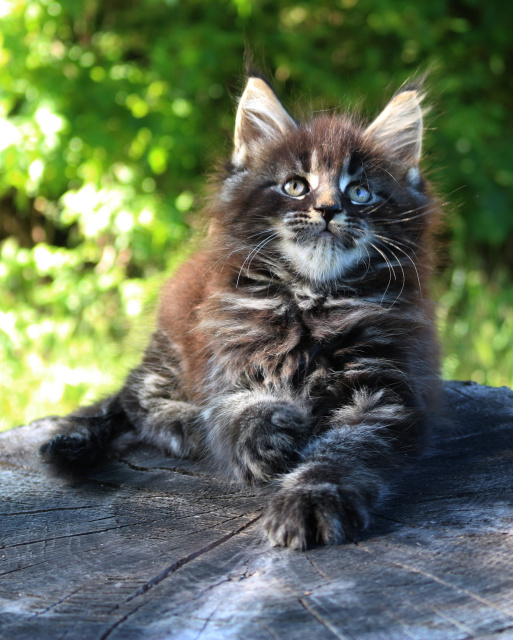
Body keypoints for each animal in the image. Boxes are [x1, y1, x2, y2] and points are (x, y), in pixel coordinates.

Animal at [40, 71, 440, 552]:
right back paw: (190, 425)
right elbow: (238, 408)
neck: (310, 300)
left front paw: (309, 499)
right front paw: (265, 440)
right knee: (138, 398)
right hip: (173, 347)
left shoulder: (384, 390)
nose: (328, 209)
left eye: (360, 192)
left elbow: (344, 451)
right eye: (295, 186)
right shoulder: (229, 359)